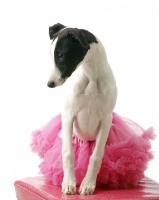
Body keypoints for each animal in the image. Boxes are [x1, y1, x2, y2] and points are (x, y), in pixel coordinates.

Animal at [47, 22, 117, 195]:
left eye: (61, 55)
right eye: (51, 55)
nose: (49, 84)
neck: (91, 76)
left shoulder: (106, 120)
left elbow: (96, 157)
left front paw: (88, 184)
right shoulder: (68, 116)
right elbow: (67, 153)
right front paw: (69, 183)